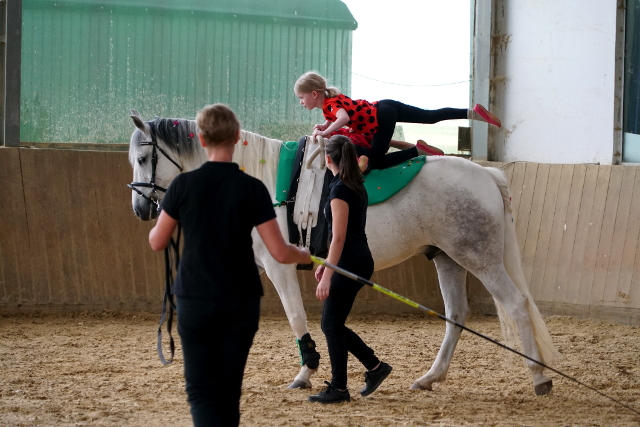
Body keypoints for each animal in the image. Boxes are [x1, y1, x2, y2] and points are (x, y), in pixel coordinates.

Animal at [128, 110, 560, 395]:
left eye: (144, 158)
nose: (140, 208)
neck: (259, 178)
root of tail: (485, 173)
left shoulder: (278, 267)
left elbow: (296, 316)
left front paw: (305, 373)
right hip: (447, 258)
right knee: (456, 316)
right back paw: (429, 378)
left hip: (478, 258)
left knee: (516, 304)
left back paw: (539, 378)